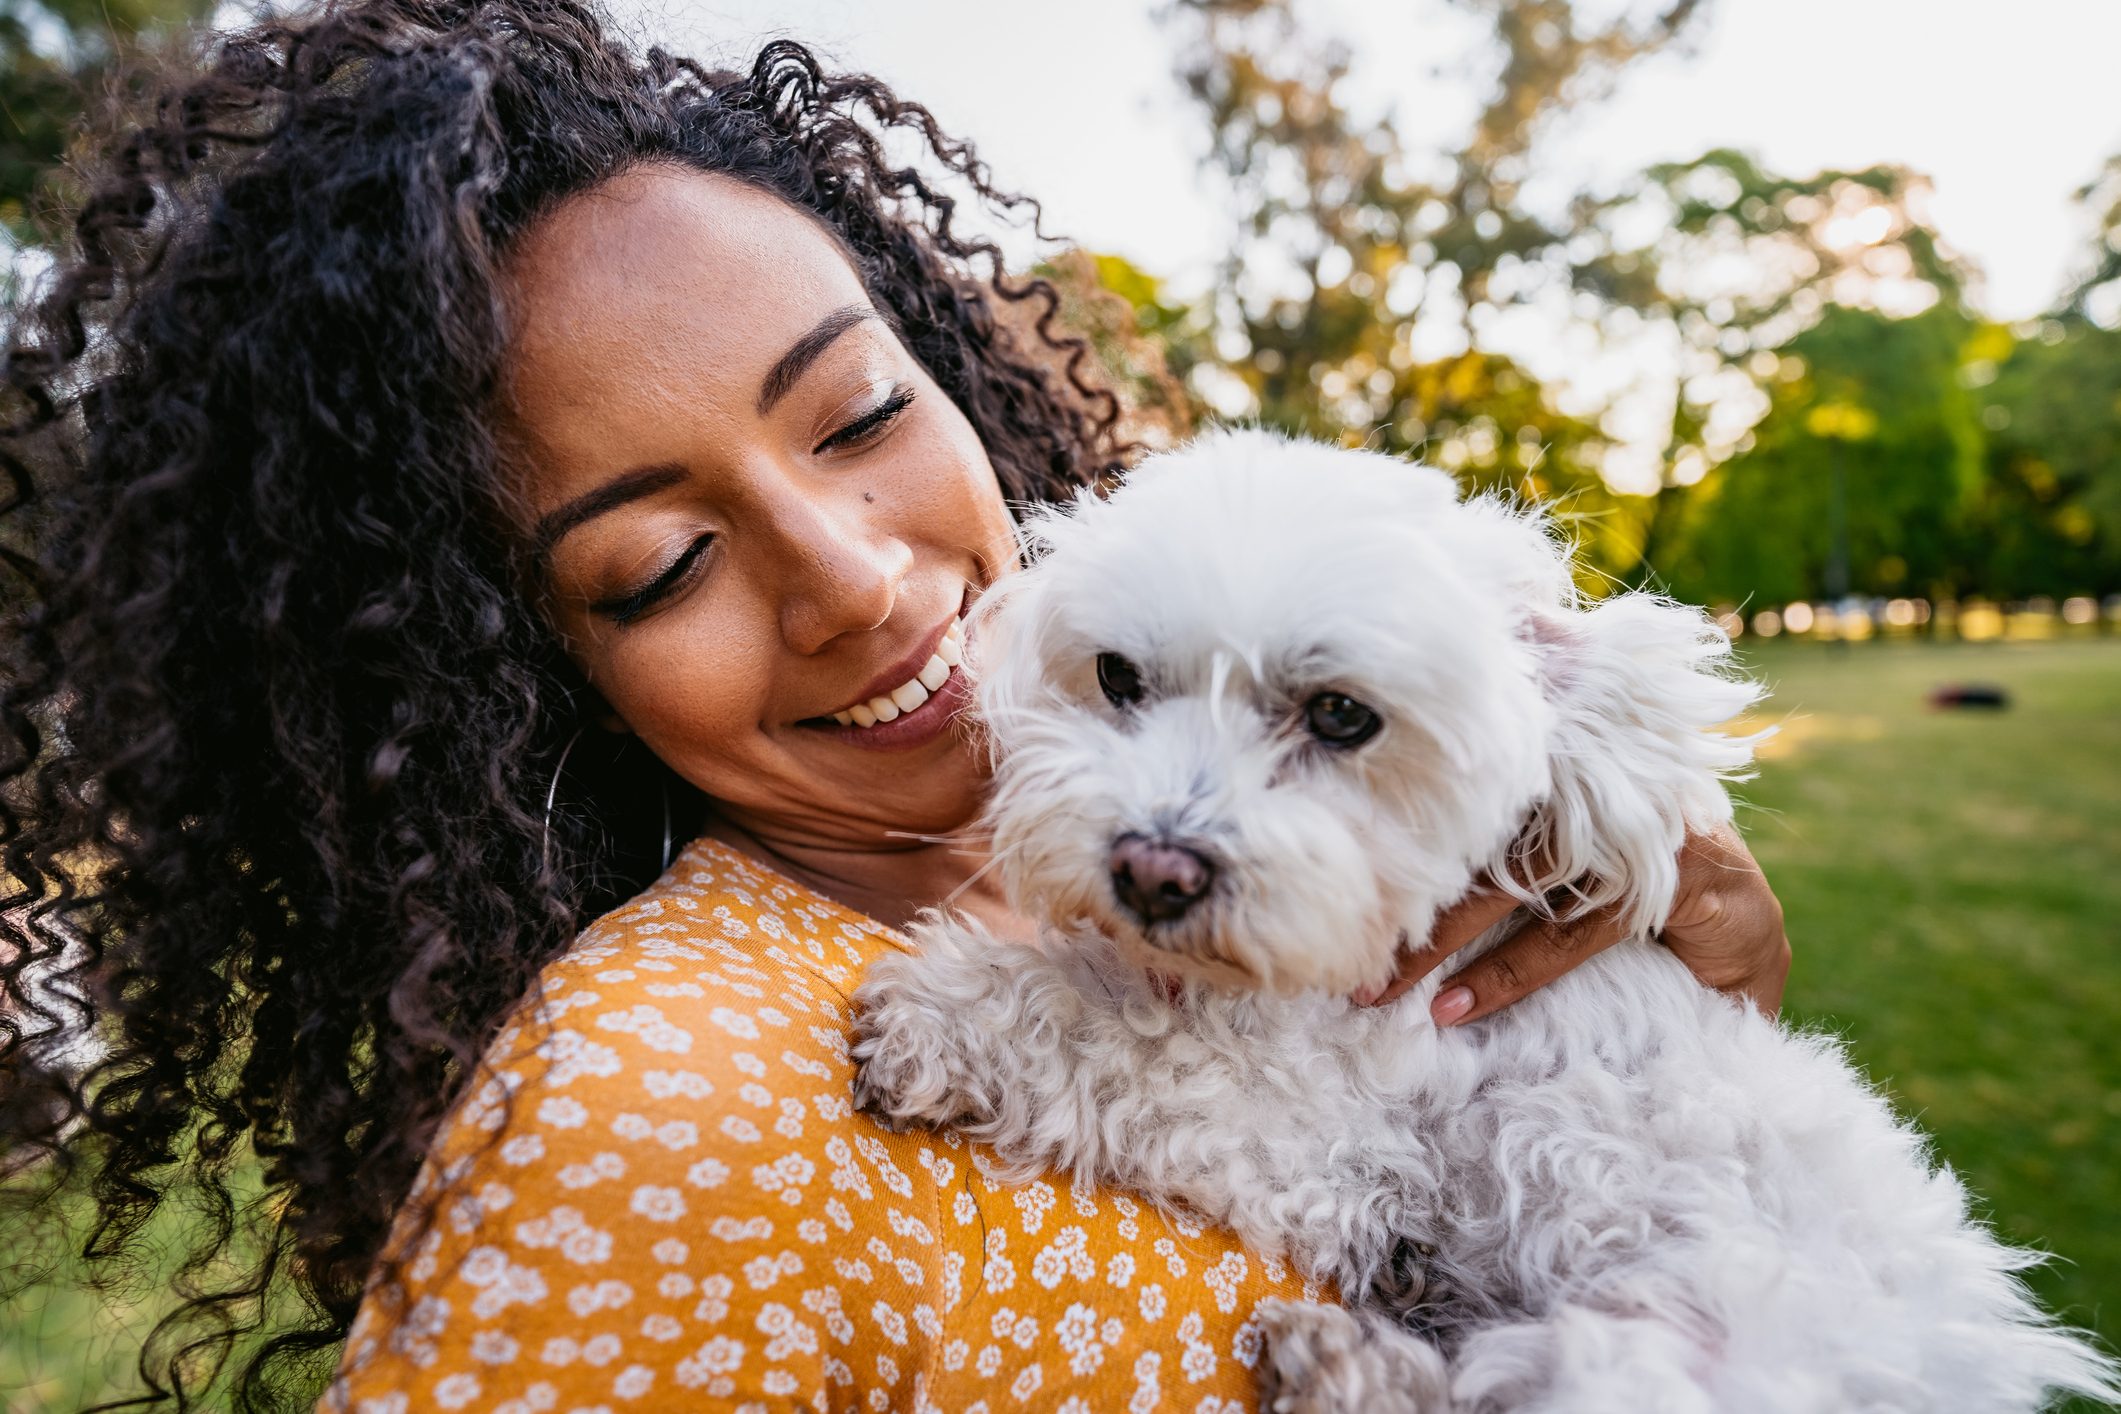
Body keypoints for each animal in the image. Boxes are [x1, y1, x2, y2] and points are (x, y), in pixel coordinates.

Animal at [848, 432, 2121, 1414]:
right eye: (1117, 676)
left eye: (1342, 714)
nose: (1152, 870)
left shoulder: (1318, 1123)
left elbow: (1115, 1033)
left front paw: (937, 1020)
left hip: (1670, 1365)